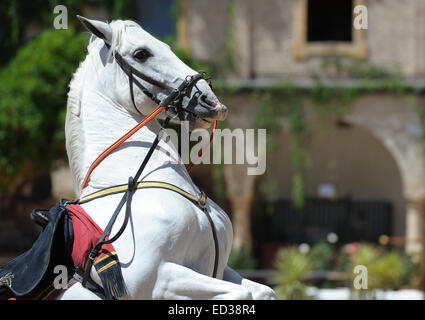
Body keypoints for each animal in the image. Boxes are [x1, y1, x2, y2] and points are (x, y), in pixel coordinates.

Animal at [58, 15, 276, 300]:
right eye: (141, 53)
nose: (211, 101)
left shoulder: (220, 269)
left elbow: (262, 291)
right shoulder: (160, 279)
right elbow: (242, 295)